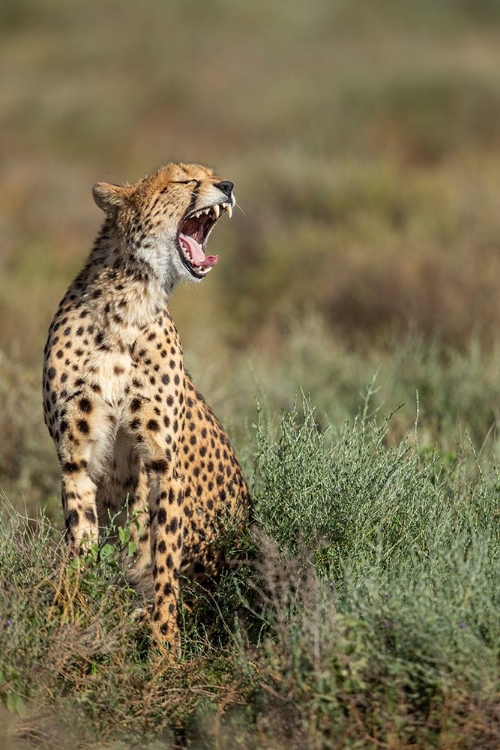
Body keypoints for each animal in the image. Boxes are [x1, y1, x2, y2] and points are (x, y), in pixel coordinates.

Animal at [43, 162, 252, 656]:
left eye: (212, 174)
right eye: (183, 180)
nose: (228, 185)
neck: (129, 303)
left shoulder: (161, 460)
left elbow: (163, 557)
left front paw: (164, 645)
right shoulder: (75, 458)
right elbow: (81, 539)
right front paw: (70, 612)